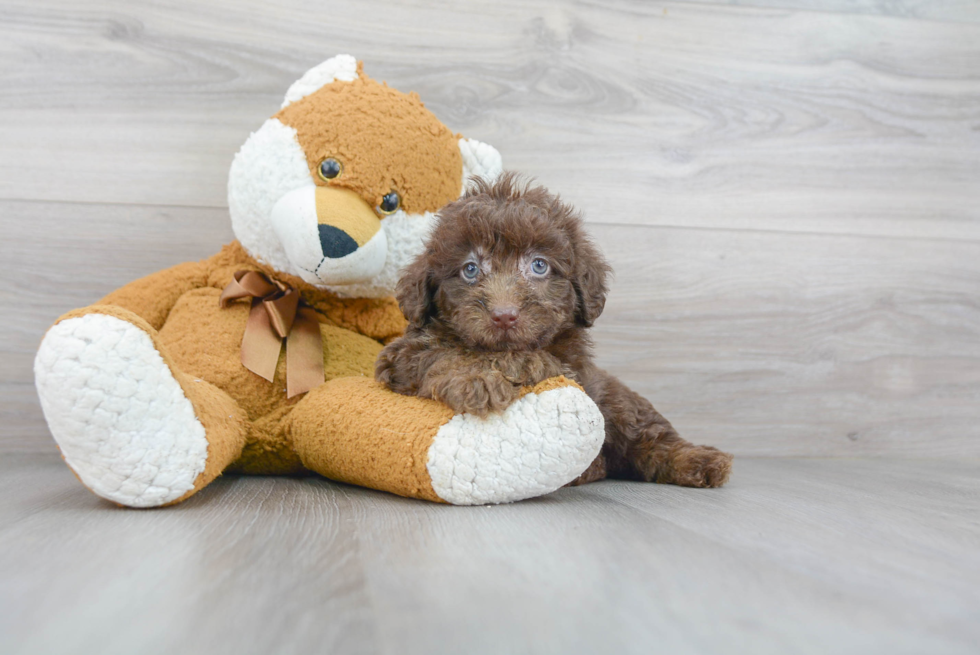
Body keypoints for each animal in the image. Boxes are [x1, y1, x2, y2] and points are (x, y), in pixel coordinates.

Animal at [378, 173, 732, 486]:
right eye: (470, 269)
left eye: (539, 265)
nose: (503, 316)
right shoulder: (401, 357)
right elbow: (442, 353)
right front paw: (476, 380)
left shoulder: (573, 366)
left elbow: (533, 359)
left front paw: (498, 371)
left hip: (617, 403)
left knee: (648, 436)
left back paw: (698, 460)